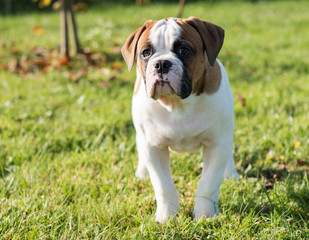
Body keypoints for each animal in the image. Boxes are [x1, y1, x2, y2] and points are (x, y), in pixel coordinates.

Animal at [121, 16, 237, 223]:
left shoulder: (217, 144)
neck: (177, 104)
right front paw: (167, 216)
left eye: (184, 50)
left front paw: (205, 215)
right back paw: (142, 173)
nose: (161, 63)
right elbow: (163, 185)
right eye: (146, 52)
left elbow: (209, 183)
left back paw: (231, 174)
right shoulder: (153, 148)